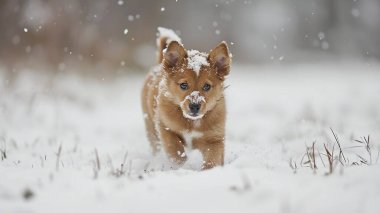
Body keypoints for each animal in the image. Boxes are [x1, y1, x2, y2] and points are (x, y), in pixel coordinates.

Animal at [141, 27, 232, 169]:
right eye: (183, 85)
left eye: (207, 86)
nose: (194, 106)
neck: (191, 122)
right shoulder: (165, 127)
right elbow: (174, 148)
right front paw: (180, 163)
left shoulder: (214, 138)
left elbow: (213, 158)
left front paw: (209, 170)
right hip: (150, 127)